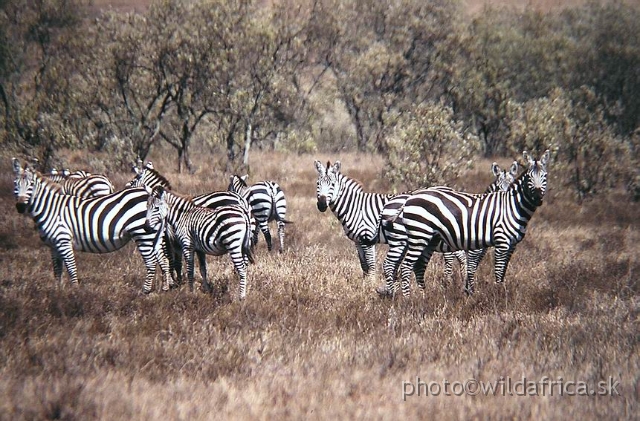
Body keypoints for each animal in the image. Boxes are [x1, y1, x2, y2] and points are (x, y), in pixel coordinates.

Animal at [12, 158, 172, 292]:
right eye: (15, 184)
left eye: (31, 185)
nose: (20, 206)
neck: (50, 208)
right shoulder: (53, 245)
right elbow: (57, 271)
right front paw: (57, 293)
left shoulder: (63, 240)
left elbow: (71, 268)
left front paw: (74, 294)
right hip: (154, 236)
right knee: (163, 259)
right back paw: (165, 288)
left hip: (143, 234)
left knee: (151, 262)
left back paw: (145, 292)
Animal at [125, 160, 255, 282]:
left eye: (134, 180)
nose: (125, 187)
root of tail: (240, 198)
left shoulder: (170, 239)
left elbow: (173, 262)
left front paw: (175, 282)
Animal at [314, 159, 468, 284]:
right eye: (318, 184)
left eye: (332, 184)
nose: (321, 205)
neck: (355, 207)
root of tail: (451, 190)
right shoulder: (358, 241)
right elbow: (363, 265)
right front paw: (364, 285)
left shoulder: (367, 238)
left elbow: (371, 265)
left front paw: (371, 286)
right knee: (460, 255)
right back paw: (460, 281)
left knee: (451, 257)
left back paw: (449, 282)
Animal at [380, 150, 552, 296]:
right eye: (529, 177)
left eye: (544, 176)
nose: (538, 198)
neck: (513, 207)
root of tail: (407, 200)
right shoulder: (496, 243)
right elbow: (487, 269)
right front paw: (491, 294)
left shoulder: (511, 245)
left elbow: (501, 270)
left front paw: (486, 291)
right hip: (414, 237)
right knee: (401, 266)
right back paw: (405, 299)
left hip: (426, 240)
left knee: (411, 266)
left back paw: (419, 297)